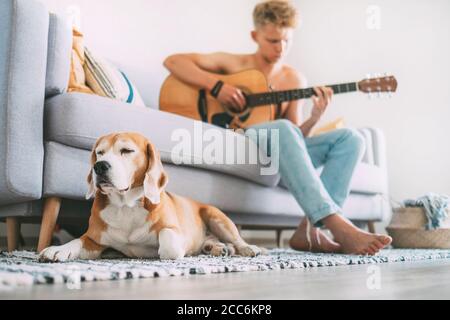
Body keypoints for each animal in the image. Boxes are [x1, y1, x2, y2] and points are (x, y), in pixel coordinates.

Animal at [40, 131, 264, 262]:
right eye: (99, 152)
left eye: (126, 150)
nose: (99, 166)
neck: (126, 206)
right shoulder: (94, 240)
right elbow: (78, 240)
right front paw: (58, 249)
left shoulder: (174, 232)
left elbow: (168, 244)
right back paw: (216, 248)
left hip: (217, 217)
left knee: (237, 239)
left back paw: (246, 248)